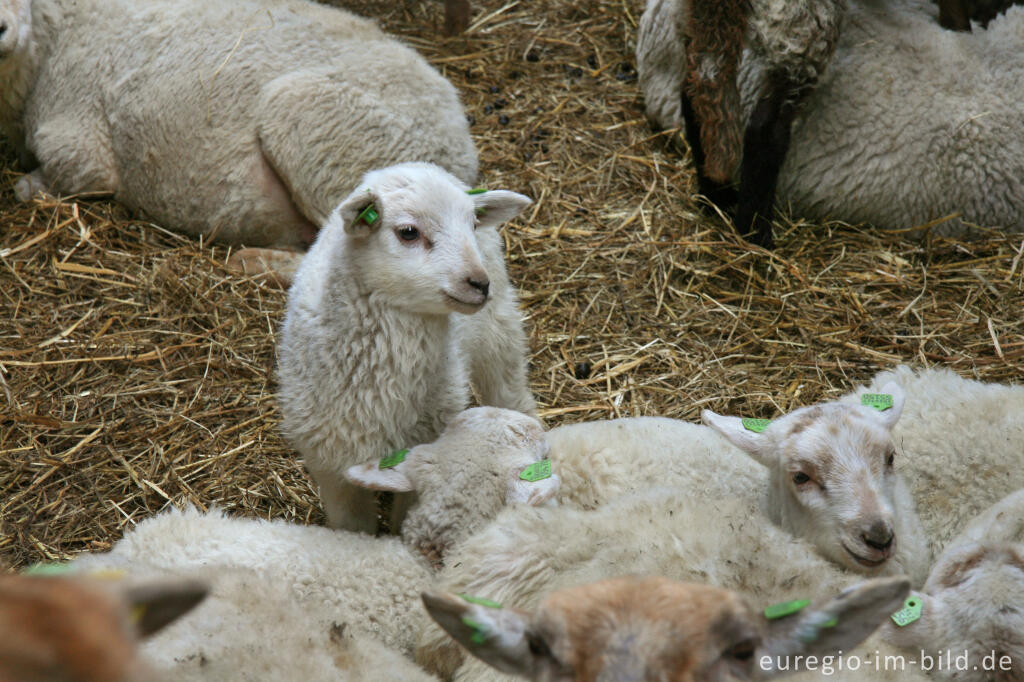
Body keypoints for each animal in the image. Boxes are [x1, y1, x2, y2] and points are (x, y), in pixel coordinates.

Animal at [0, 1, 473, 274]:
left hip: (312, 123)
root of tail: (462, 145)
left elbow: (41, 184)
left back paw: (252, 261)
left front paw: (31, 185)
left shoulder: (82, 146)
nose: (1, 28)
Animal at [276, 163, 540, 532]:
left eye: (472, 224)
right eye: (408, 232)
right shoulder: (330, 464)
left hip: (499, 327)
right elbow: (352, 527)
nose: (478, 283)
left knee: (510, 392)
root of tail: (411, 162)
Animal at [638, 0, 1024, 236]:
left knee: (699, 93)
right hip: (800, 24)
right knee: (765, 128)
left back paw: (714, 197)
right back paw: (756, 237)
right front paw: (960, 27)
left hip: (701, 21)